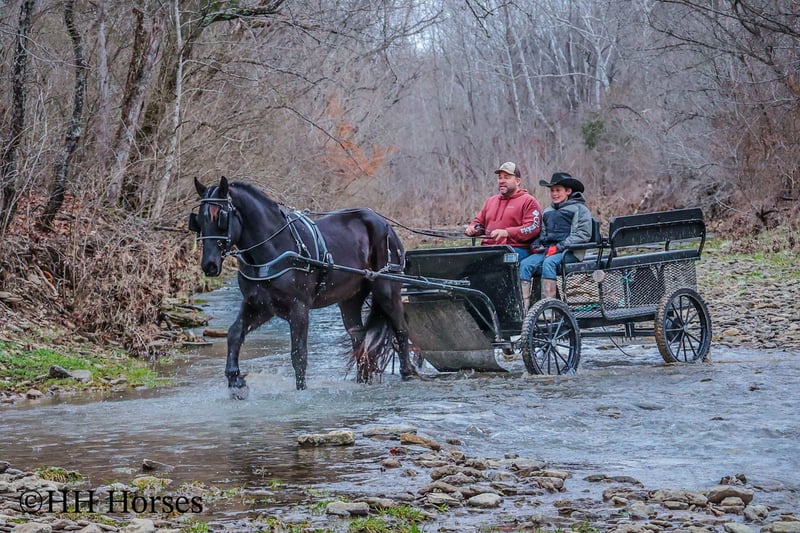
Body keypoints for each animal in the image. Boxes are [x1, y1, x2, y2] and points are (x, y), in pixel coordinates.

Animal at [189, 176, 417, 397]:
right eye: (199, 220)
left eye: (220, 216)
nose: (209, 265)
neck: (273, 248)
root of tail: (385, 225)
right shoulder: (260, 305)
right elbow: (235, 334)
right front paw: (235, 381)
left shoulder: (298, 307)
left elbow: (299, 353)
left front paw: (301, 390)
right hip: (350, 299)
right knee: (359, 339)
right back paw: (362, 381)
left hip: (387, 290)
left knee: (401, 330)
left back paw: (408, 373)